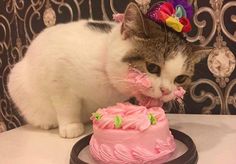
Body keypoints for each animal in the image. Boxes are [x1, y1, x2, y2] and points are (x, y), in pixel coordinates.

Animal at [7, 2, 211, 138]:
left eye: (180, 79)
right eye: (152, 67)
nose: (166, 91)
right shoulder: (58, 77)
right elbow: (66, 105)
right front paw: (71, 126)